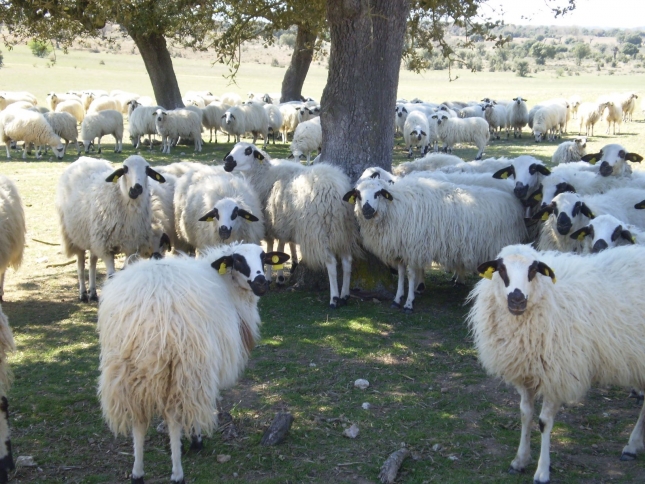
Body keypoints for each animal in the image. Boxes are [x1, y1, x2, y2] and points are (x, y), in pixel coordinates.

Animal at [55, 155, 166, 300]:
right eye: (125, 169)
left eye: (147, 169)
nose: (136, 188)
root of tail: (83, 158)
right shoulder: (106, 248)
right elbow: (111, 276)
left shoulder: (131, 247)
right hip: (77, 236)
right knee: (81, 264)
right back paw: (83, 293)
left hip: (93, 238)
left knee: (92, 263)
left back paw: (93, 292)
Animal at [98, 244, 290, 484]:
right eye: (238, 260)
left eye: (263, 257)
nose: (261, 282)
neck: (228, 288)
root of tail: (150, 312)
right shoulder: (203, 366)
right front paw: (195, 440)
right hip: (185, 364)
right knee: (173, 417)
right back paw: (177, 473)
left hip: (124, 369)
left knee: (138, 421)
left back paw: (137, 473)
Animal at [224, 142, 360, 308]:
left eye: (248, 151)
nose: (227, 161)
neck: (264, 175)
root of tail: (337, 192)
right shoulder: (285, 223)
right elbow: (284, 245)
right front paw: (289, 267)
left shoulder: (273, 223)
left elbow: (273, 248)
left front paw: (274, 277)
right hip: (343, 230)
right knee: (347, 261)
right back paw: (345, 295)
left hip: (317, 231)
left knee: (331, 263)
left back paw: (334, 299)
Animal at [344, 175, 524, 310]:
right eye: (358, 194)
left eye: (378, 193)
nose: (367, 209)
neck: (395, 207)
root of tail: (513, 203)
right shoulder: (401, 248)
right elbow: (401, 274)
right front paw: (397, 299)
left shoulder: (413, 249)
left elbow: (411, 275)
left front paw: (409, 303)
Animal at [466, 244, 644, 484]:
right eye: (501, 269)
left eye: (533, 270)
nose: (517, 300)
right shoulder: (527, 373)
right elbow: (525, 414)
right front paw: (520, 461)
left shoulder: (556, 373)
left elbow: (543, 422)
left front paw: (542, 471)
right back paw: (633, 446)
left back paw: (631, 445)